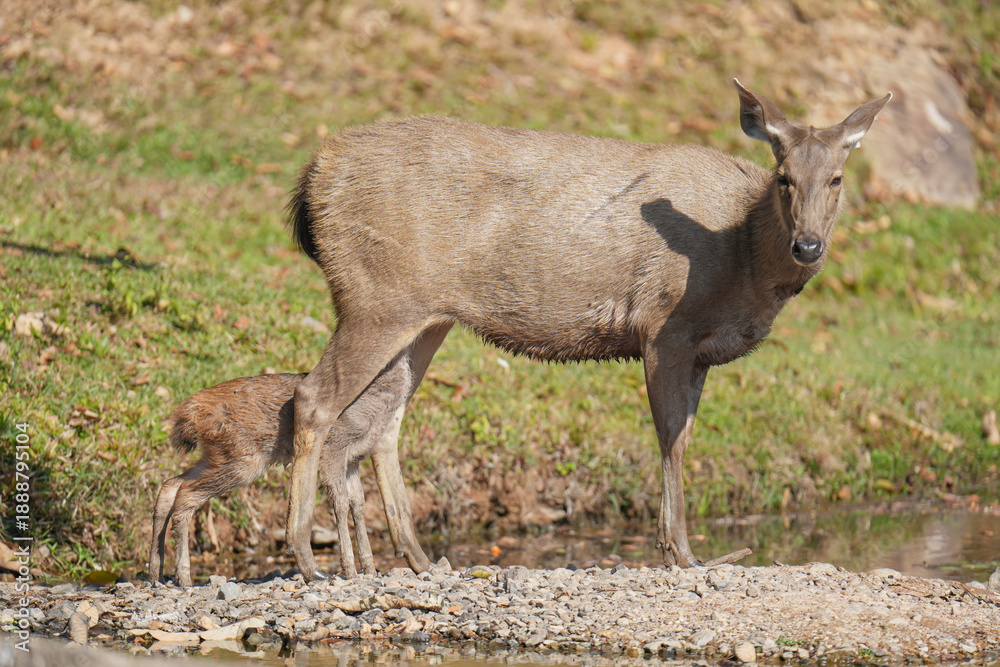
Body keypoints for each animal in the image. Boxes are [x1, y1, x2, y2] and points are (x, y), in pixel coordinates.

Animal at [147, 352, 430, 587]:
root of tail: (190, 411)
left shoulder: (353, 459)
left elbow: (358, 504)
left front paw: (369, 569)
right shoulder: (333, 447)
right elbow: (340, 502)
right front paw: (350, 570)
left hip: (218, 456)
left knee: (170, 485)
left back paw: (156, 573)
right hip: (243, 460)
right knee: (185, 494)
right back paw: (184, 577)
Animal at [282, 79, 891, 580]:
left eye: (836, 178)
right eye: (783, 177)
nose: (808, 246)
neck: (742, 256)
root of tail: (313, 175)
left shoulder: (698, 353)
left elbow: (683, 438)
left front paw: (679, 548)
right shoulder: (664, 326)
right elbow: (670, 440)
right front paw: (680, 552)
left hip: (424, 316)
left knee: (385, 421)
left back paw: (417, 558)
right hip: (374, 296)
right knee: (313, 397)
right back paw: (306, 555)